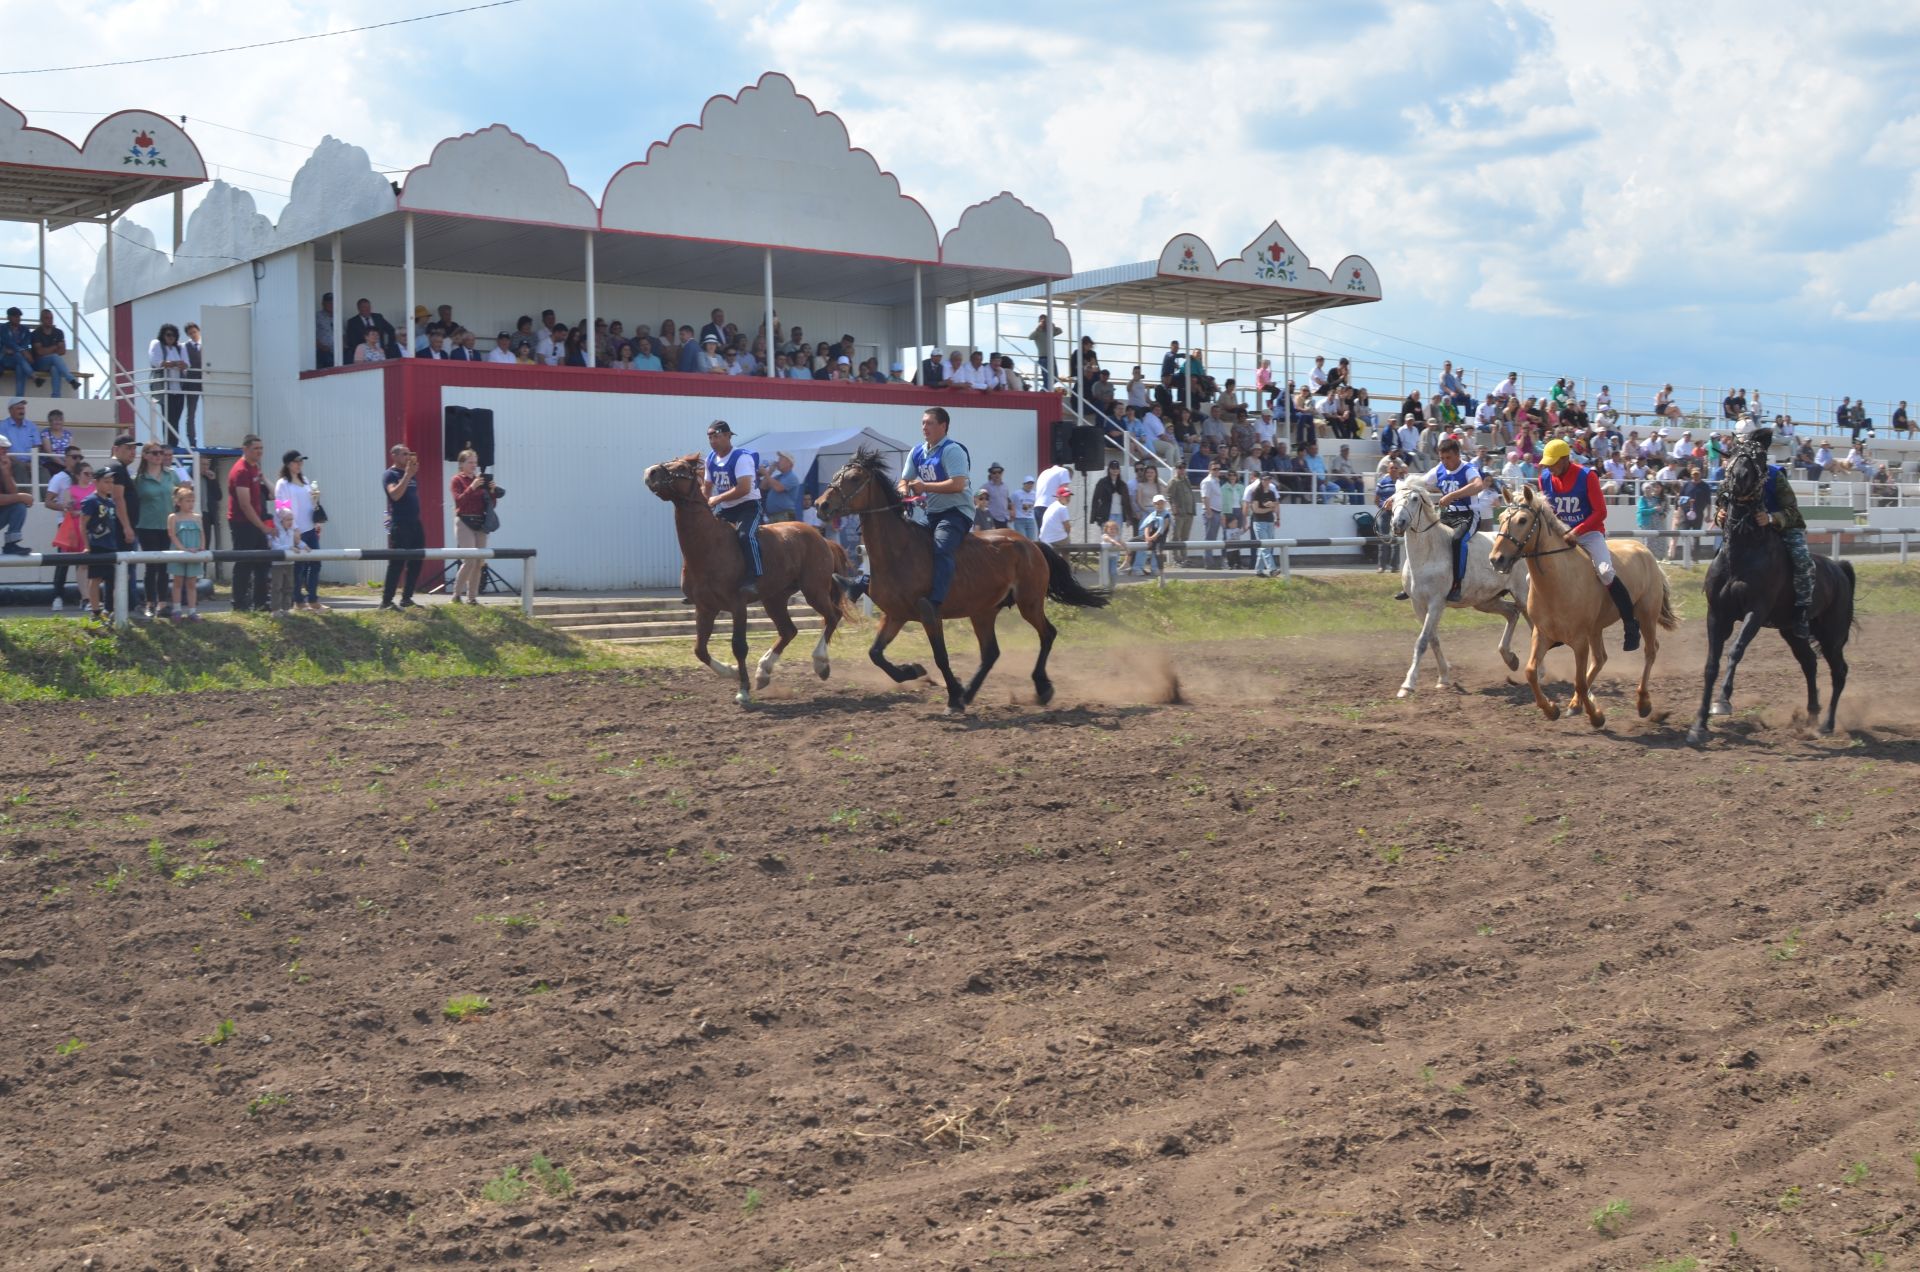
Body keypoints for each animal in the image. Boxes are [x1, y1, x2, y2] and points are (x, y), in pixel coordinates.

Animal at [645, 453, 856, 707]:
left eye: (683, 468)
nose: (650, 472)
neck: (708, 545)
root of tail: (822, 539)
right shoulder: (705, 608)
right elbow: (700, 650)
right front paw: (733, 671)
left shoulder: (738, 605)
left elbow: (739, 646)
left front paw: (743, 690)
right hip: (774, 599)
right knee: (789, 631)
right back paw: (763, 671)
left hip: (813, 590)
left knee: (832, 616)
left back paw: (820, 663)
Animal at [814, 447, 1113, 710]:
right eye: (836, 474)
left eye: (854, 478)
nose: (821, 505)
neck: (898, 551)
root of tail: (1031, 543)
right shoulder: (895, 615)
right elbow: (875, 654)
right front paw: (914, 671)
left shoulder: (929, 614)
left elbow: (941, 656)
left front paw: (953, 695)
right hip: (983, 612)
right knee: (991, 653)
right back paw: (970, 693)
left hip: (1029, 603)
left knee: (1047, 634)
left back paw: (1041, 688)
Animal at [1390, 476, 1536, 699]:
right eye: (1394, 497)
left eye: (1414, 498)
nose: (1398, 523)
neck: (1427, 555)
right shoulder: (1418, 604)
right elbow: (1433, 639)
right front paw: (1443, 678)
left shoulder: (1436, 603)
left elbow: (1422, 641)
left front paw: (1408, 684)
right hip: (1486, 601)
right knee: (1512, 613)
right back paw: (1510, 659)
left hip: (1522, 594)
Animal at [1489, 486, 1674, 726]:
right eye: (1501, 517)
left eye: (1522, 520)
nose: (1496, 559)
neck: (1557, 583)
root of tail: (1645, 550)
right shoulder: (1542, 634)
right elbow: (1531, 672)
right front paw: (1552, 709)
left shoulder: (1579, 640)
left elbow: (1579, 681)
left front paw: (1595, 716)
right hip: (1596, 629)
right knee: (1601, 658)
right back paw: (1576, 704)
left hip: (1646, 615)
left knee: (1650, 651)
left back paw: (1643, 703)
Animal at [1689, 434, 1850, 749]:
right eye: (1733, 454)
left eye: (1760, 457)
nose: (1739, 477)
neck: (1743, 553)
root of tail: (1839, 569)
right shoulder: (1717, 614)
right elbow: (1711, 665)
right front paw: (1699, 726)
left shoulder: (1756, 611)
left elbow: (1735, 650)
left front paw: (1723, 702)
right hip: (1792, 631)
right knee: (1810, 663)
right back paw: (1811, 716)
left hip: (1832, 635)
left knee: (1839, 671)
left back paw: (1827, 724)